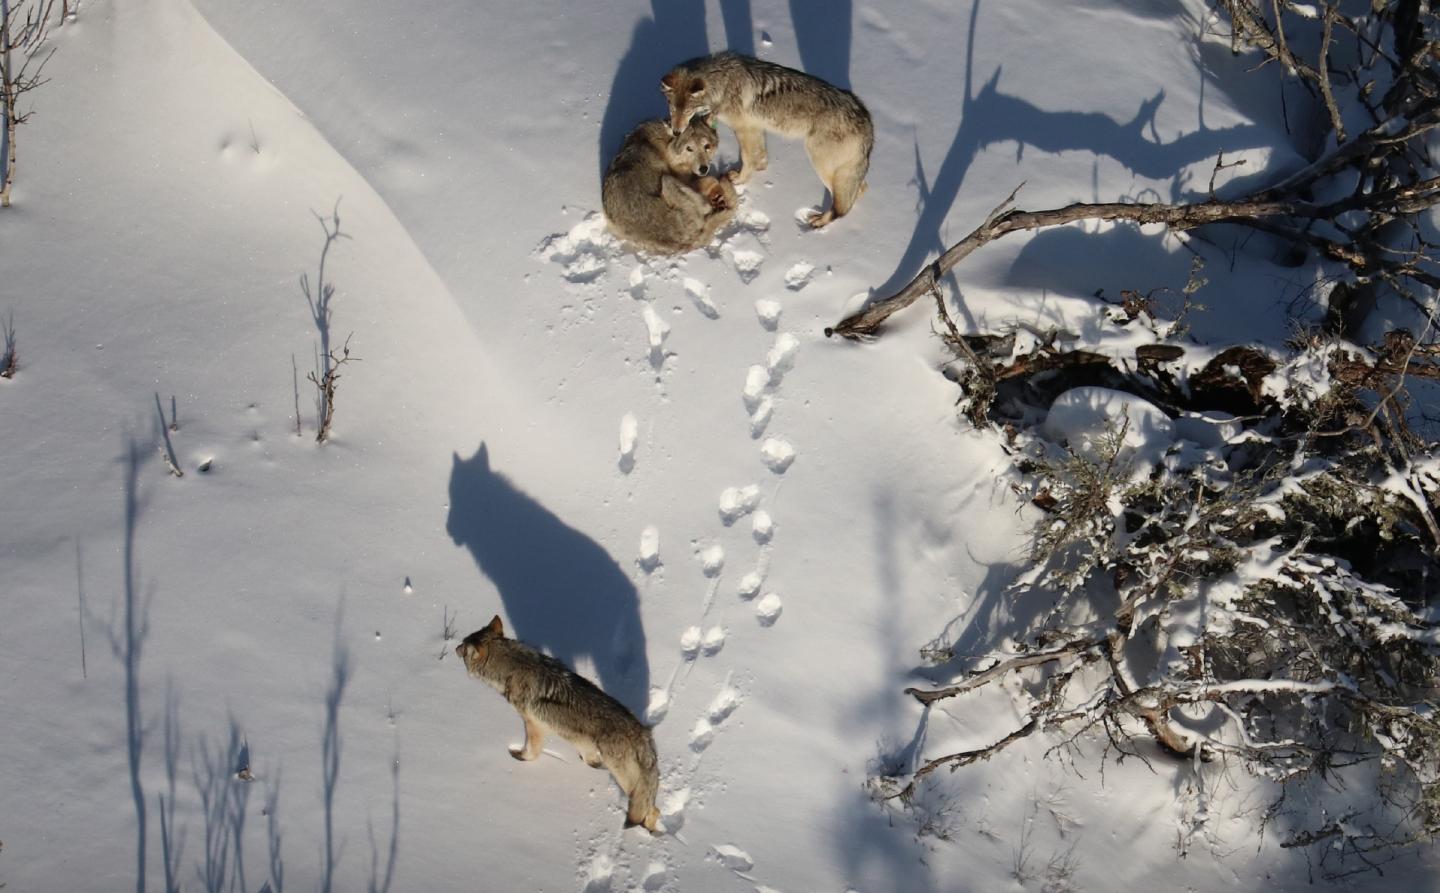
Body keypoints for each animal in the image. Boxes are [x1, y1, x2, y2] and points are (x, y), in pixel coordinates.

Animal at [457, 615, 663, 833]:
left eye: (463, 647)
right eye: (463, 641)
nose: (455, 647)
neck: (512, 666)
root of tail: (642, 733)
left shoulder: (533, 725)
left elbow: (531, 751)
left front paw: (520, 757)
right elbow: (587, 756)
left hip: (625, 779)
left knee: (651, 808)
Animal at [602, 118, 738, 255]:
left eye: (707, 146)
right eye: (689, 148)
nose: (704, 168)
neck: (666, 143)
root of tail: (683, 242)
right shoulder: (685, 179)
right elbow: (712, 180)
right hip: (667, 180)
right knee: (707, 207)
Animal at [661, 51, 873, 228]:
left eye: (687, 111)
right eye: (672, 109)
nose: (676, 132)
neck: (723, 82)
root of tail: (866, 119)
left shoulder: (744, 129)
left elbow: (747, 158)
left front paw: (740, 180)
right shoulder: (755, 127)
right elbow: (758, 154)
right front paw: (760, 168)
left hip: (821, 163)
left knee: (842, 204)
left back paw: (820, 221)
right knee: (859, 190)